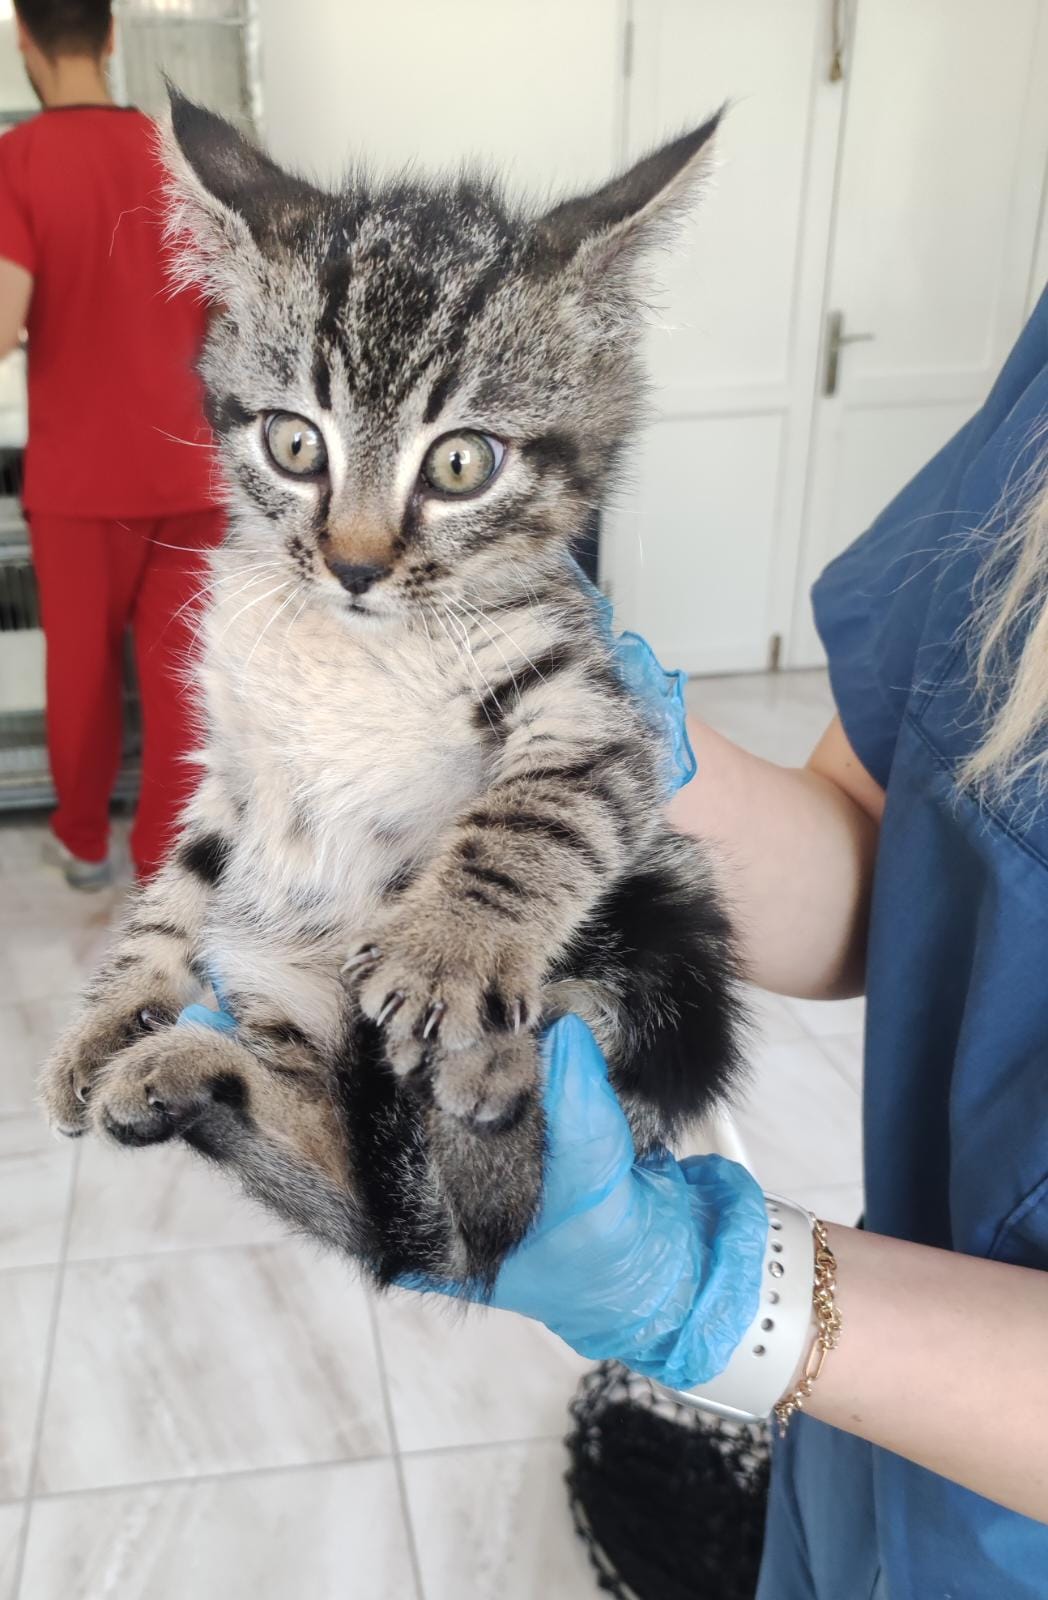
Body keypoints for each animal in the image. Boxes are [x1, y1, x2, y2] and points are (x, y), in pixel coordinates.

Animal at [39, 90, 744, 1289]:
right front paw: (112, 1016)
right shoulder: (235, 761)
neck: (355, 644)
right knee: (344, 1149)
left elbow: (539, 814)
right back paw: (185, 1069)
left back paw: (491, 1074)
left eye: (462, 463)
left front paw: (446, 948)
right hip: (284, 989)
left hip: (673, 912)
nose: (355, 563)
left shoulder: (594, 704)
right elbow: (180, 884)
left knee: (547, 1110)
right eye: (294, 443)